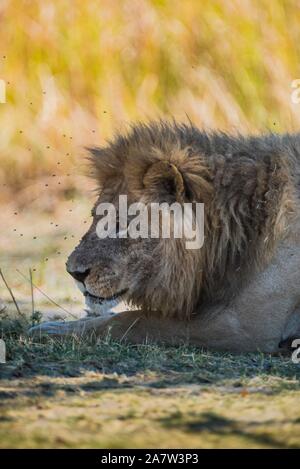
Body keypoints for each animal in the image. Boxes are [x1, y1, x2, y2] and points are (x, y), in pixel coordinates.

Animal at [29, 120, 300, 352]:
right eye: (95, 216)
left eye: (121, 223)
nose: (74, 273)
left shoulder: (242, 324)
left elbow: (132, 320)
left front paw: (51, 330)